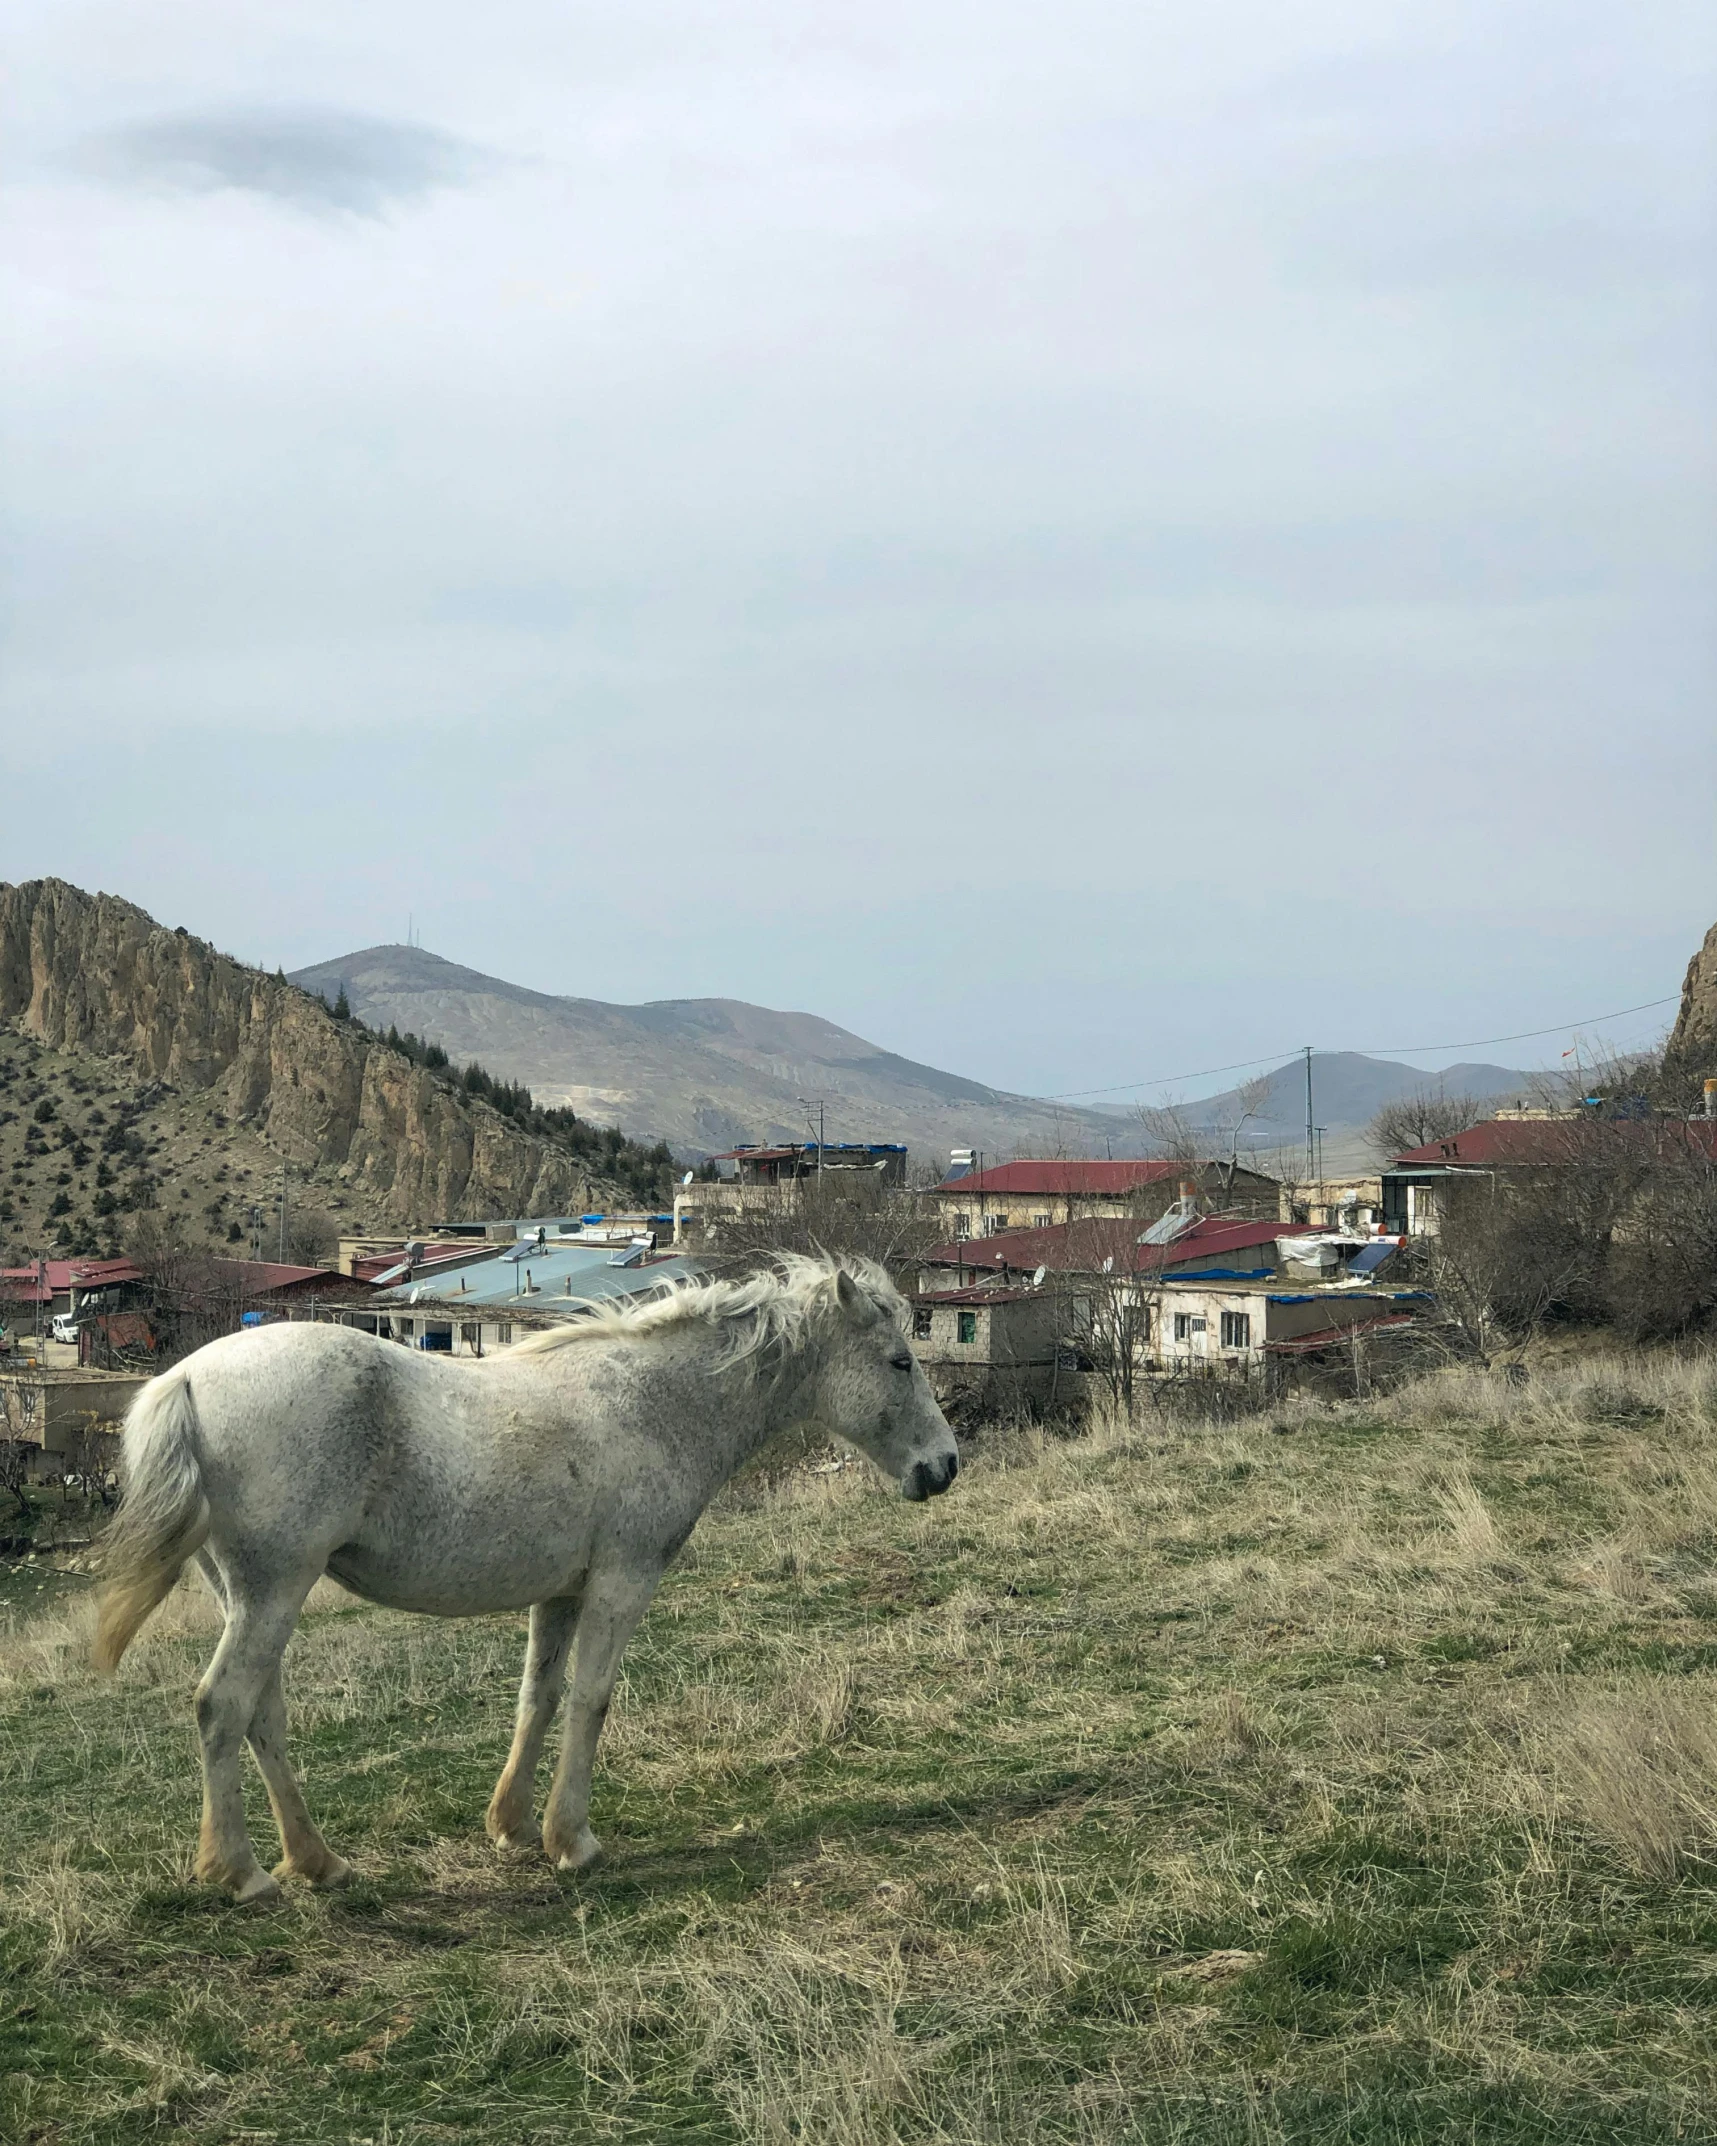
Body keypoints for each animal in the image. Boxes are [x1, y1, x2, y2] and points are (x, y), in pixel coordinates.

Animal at [90, 1253, 952, 1905]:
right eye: (900, 1361)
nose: (941, 1467)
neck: (656, 1404)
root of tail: (185, 1380)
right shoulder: (622, 1582)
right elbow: (591, 1699)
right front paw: (572, 1840)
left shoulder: (562, 1594)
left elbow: (538, 1696)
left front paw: (510, 1826)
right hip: (275, 1589)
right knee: (222, 1706)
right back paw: (242, 1873)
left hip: (250, 1594)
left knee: (259, 1715)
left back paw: (317, 1861)